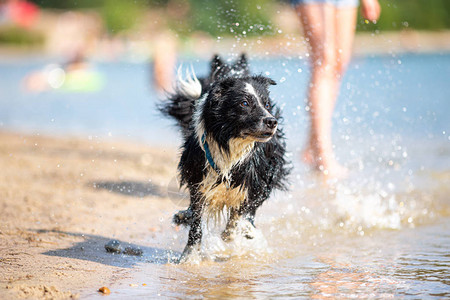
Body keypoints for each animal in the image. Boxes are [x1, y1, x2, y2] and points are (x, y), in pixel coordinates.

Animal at [160, 54, 290, 262]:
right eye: (244, 103)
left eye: (267, 104)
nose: (272, 121)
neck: (231, 143)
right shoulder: (198, 178)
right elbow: (196, 220)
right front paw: (190, 255)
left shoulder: (260, 177)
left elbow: (244, 210)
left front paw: (236, 231)